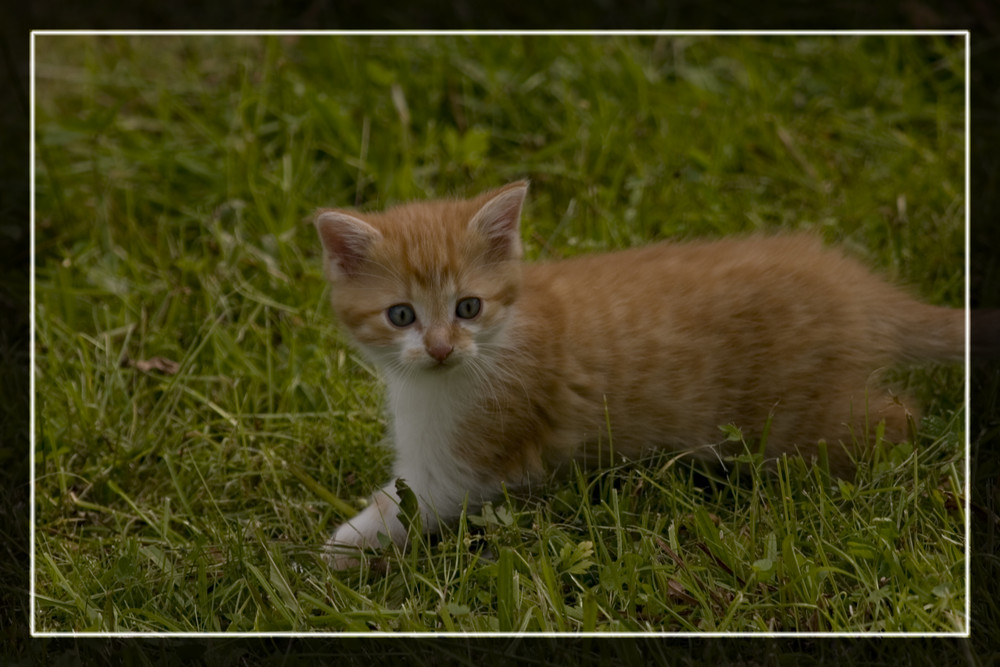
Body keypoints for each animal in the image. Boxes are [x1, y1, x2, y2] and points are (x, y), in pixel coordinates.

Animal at [310, 181, 960, 568]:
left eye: (468, 307)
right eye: (401, 315)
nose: (441, 348)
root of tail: (859, 292)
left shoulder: (472, 457)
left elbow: (411, 502)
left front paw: (336, 550)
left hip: (802, 422)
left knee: (899, 418)